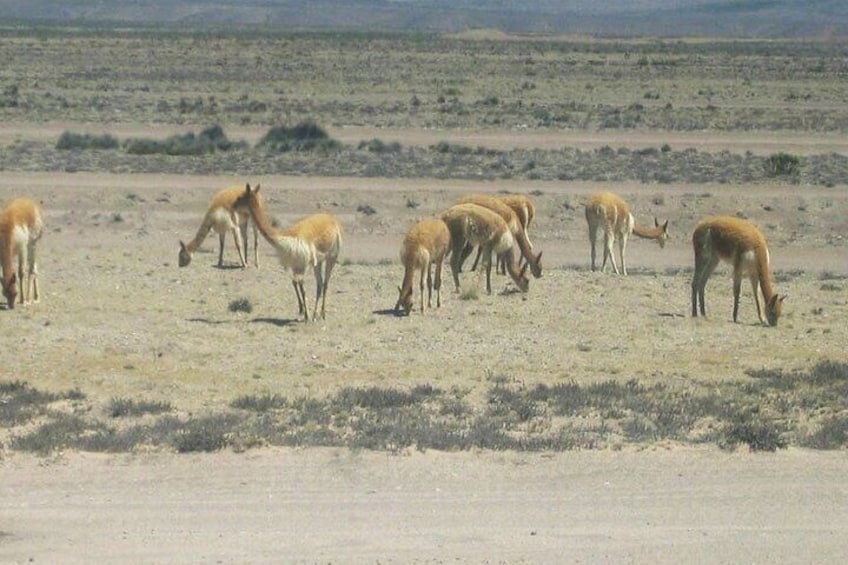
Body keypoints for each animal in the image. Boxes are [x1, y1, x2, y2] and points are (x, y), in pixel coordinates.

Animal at [234, 184, 342, 322]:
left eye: (240, 197)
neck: (283, 238)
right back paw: (315, 315)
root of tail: (332, 219)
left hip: (332, 257)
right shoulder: (294, 265)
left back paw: (322, 314)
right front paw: (302, 311)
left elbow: (302, 288)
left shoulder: (301, 266)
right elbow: (294, 283)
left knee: (326, 283)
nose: (233, 205)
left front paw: (306, 315)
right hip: (318, 262)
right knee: (319, 284)